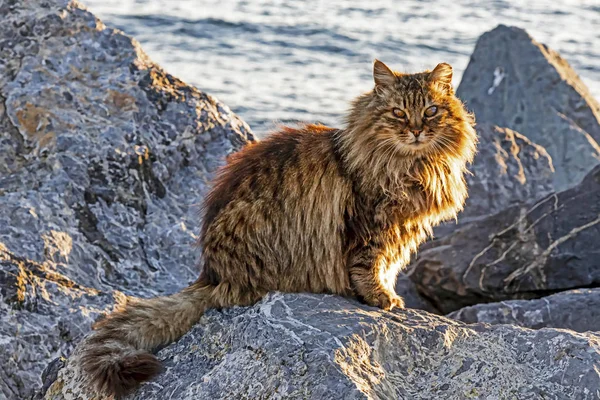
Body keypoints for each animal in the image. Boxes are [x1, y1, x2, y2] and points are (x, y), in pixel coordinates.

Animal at [77, 60, 476, 396]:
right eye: (398, 113)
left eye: (431, 111)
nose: (417, 130)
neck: (413, 167)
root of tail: (211, 274)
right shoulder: (372, 226)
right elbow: (370, 267)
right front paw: (382, 298)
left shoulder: (400, 230)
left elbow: (388, 267)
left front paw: (388, 293)